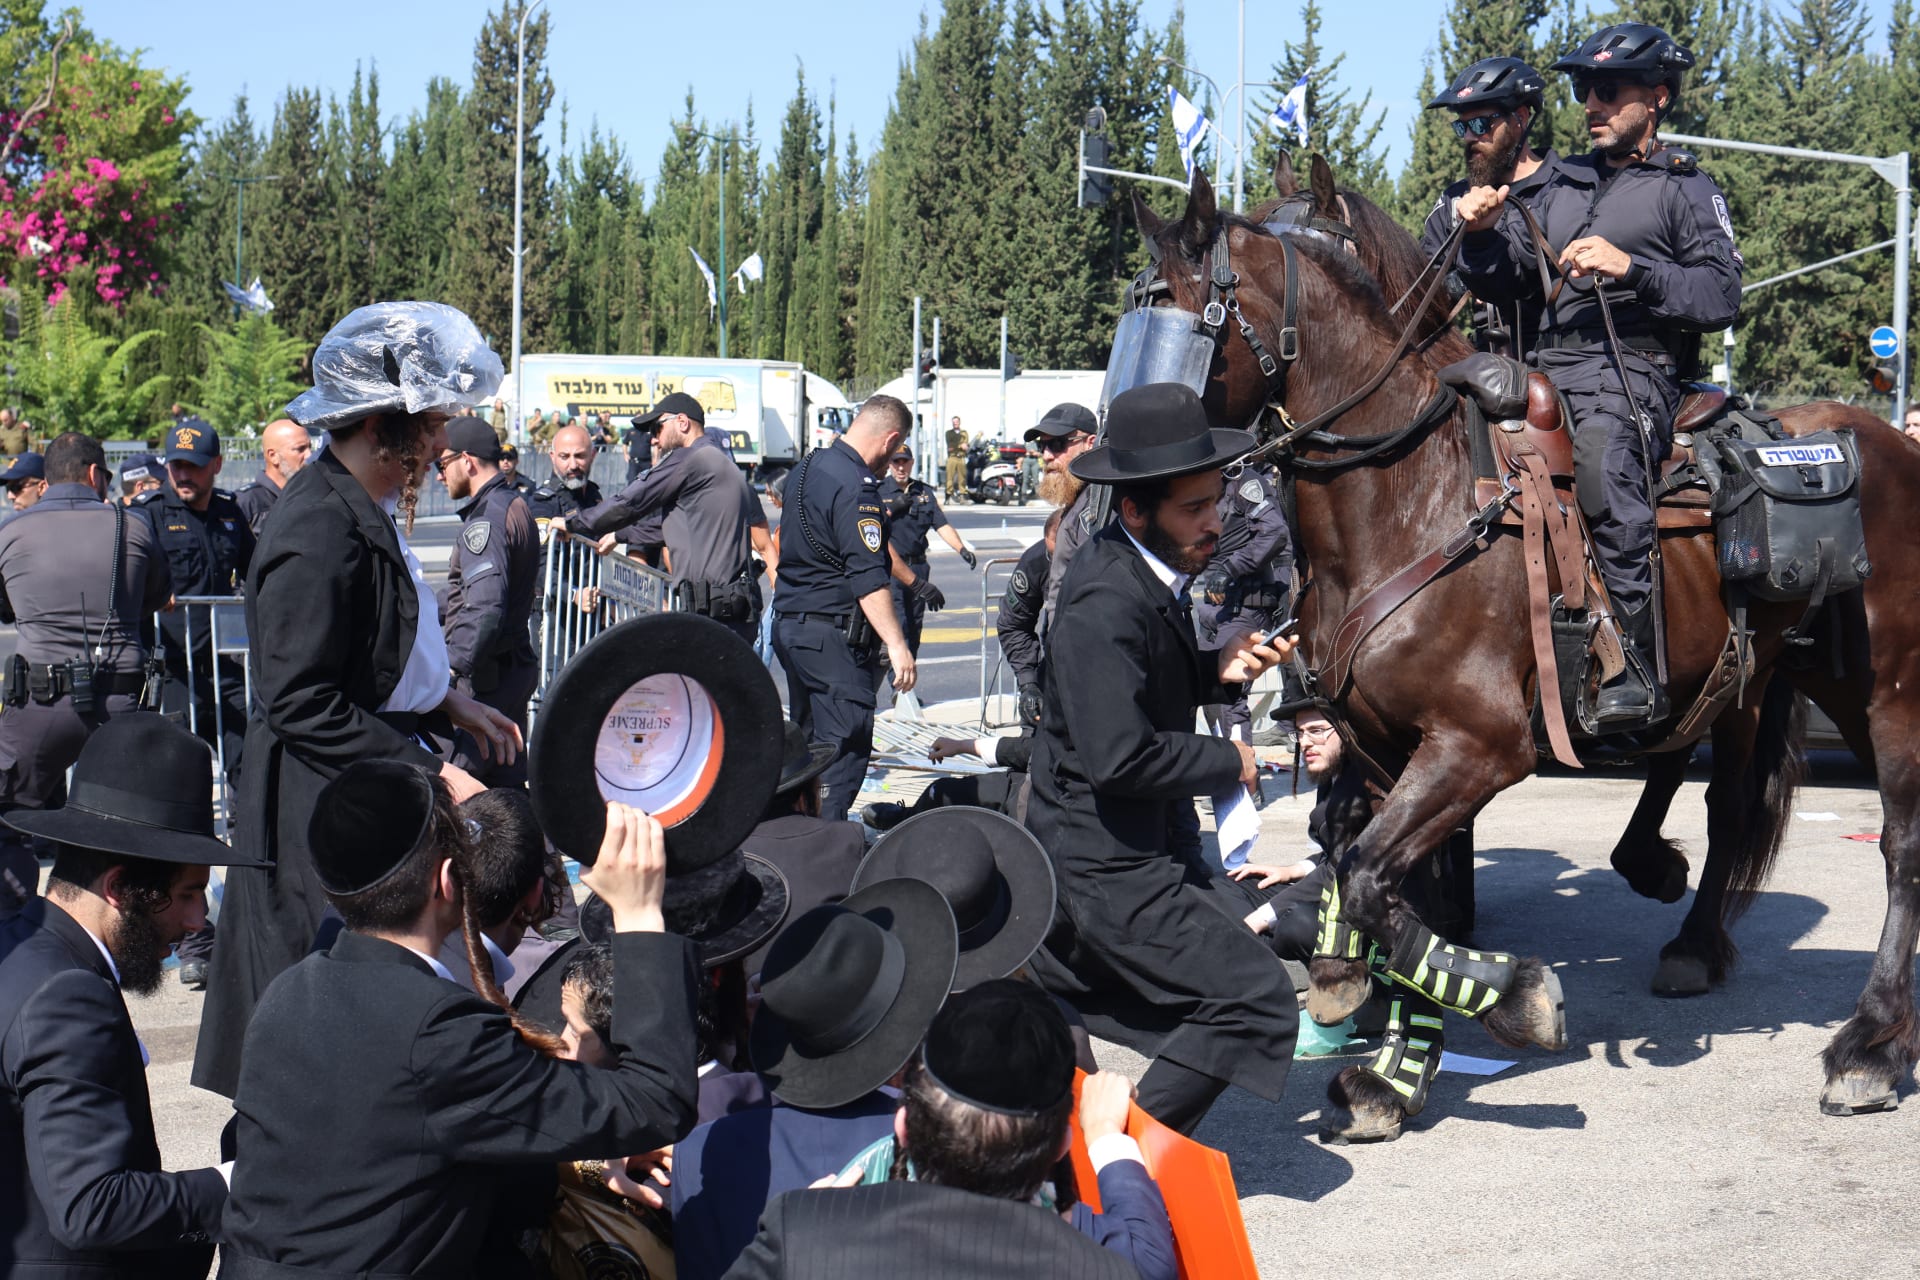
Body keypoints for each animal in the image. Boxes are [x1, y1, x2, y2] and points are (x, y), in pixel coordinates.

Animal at [1121, 160, 1920, 1143]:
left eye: (1189, 325)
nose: (1109, 468)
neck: (1409, 498)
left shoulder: (1479, 748)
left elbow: (1375, 877)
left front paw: (1507, 998)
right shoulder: (1386, 753)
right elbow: (1393, 886)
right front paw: (1394, 1069)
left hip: (1883, 693)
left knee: (1900, 846)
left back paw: (1872, 1043)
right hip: (1755, 675)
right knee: (1727, 801)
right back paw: (1691, 934)